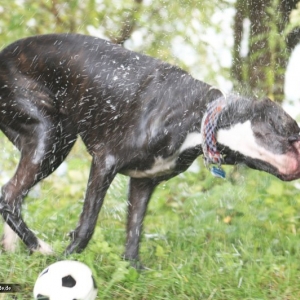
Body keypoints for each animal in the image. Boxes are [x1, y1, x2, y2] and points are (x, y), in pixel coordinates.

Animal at [0, 34, 300, 266]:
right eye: (287, 130)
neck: (196, 114)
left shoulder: (143, 182)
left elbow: (135, 230)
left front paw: (133, 269)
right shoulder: (105, 163)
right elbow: (87, 225)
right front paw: (67, 260)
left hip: (46, 142)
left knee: (14, 195)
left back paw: (14, 249)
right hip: (50, 138)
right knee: (9, 196)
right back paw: (40, 248)